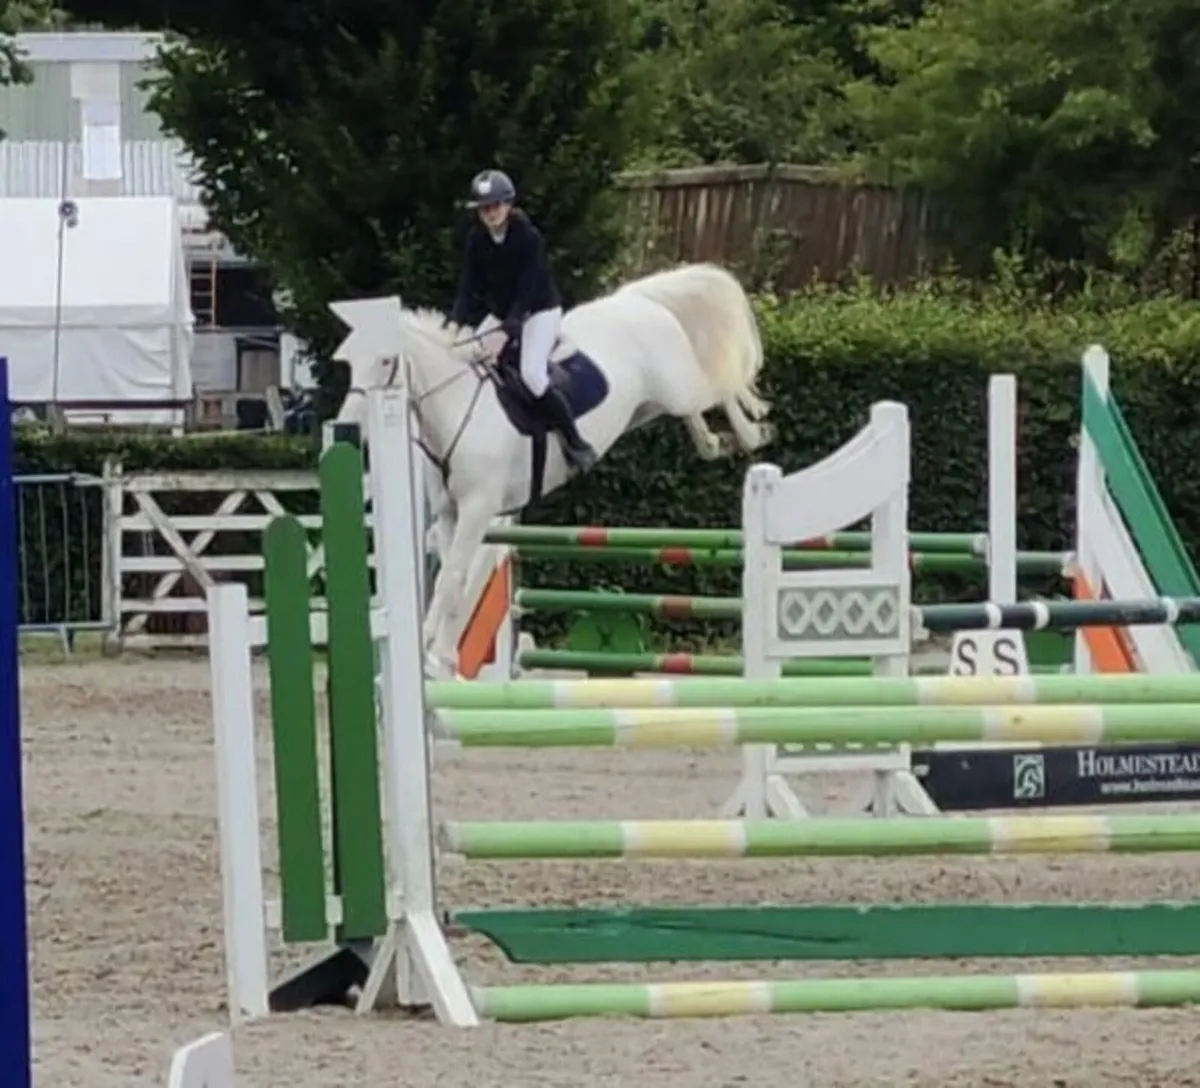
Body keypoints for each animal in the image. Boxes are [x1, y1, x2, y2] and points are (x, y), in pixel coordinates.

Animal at [335, 261, 773, 679]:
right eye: (350, 364)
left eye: (385, 361)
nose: (349, 428)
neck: (458, 406)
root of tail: (634, 300)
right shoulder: (449, 513)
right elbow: (455, 582)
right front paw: (440, 656)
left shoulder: (477, 509)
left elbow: (453, 578)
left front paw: (430, 655)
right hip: (649, 406)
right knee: (696, 413)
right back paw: (715, 442)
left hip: (679, 385)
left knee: (720, 383)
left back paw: (753, 430)